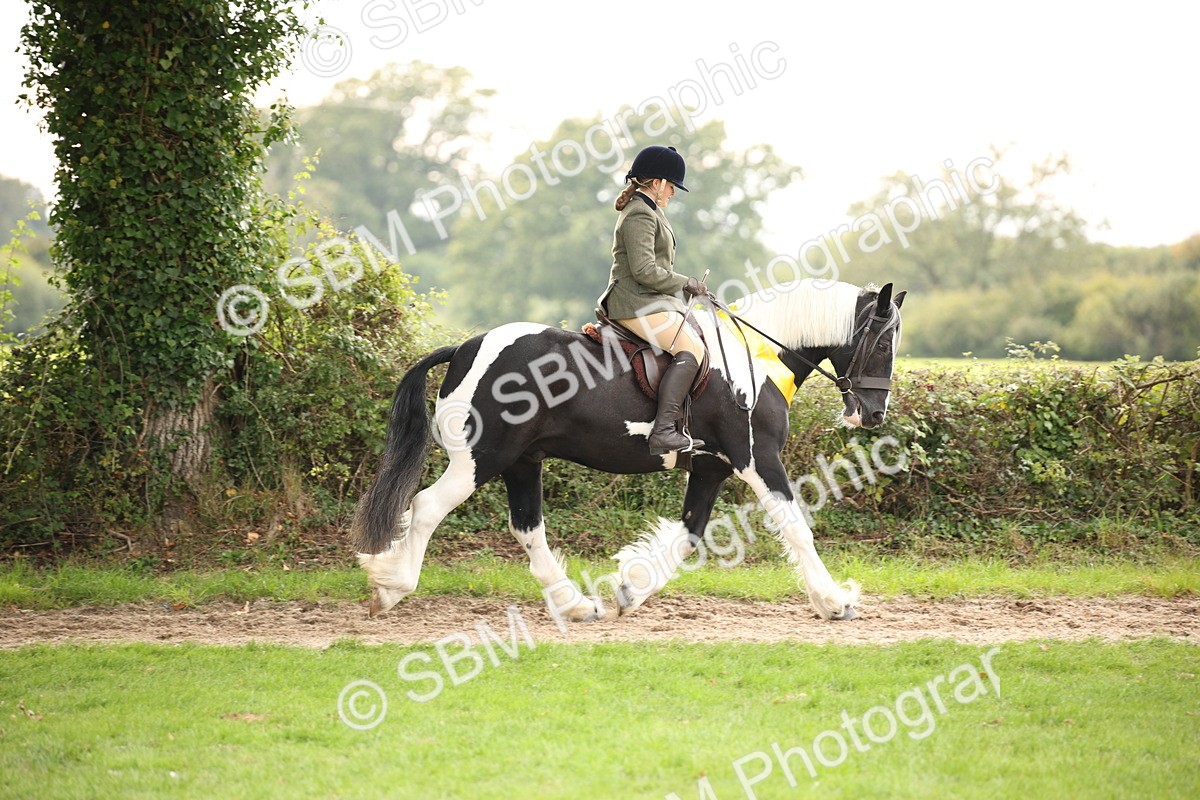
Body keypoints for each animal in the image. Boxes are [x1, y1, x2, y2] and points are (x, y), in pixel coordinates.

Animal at [353, 278, 905, 623]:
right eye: (883, 342)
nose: (874, 414)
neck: (757, 359)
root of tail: (465, 349)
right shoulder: (757, 459)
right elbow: (795, 526)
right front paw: (835, 602)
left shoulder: (711, 468)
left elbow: (688, 536)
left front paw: (629, 589)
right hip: (481, 458)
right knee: (427, 506)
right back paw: (389, 587)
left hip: (521, 462)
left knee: (528, 529)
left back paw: (576, 606)